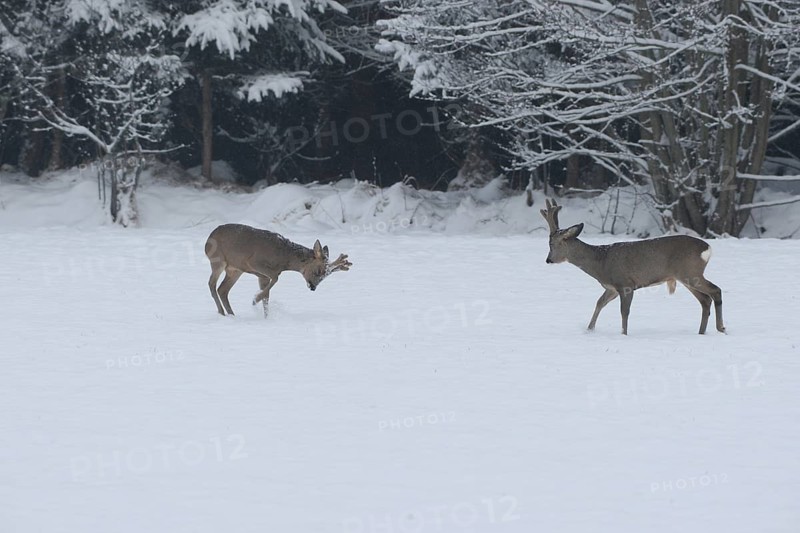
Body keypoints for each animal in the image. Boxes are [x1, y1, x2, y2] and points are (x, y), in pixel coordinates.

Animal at [204, 224, 352, 317]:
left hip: (235, 269)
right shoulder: (254, 262)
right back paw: (221, 313)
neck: (283, 259)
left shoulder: (262, 275)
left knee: (223, 289)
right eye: (319, 270)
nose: (313, 287)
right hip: (218, 259)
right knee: (212, 284)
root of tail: (208, 239)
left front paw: (266, 316)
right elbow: (275, 279)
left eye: (325, 276)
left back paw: (231, 314)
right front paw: (255, 299)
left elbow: (267, 295)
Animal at [540, 199, 725, 335]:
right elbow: (599, 303)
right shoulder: (612, 288)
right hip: (687, 276)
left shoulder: (625, 284)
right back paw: (701, 332)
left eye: (551, 244)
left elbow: (624, 311)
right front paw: (589, 330)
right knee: (705, 300)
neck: (600, 262)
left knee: (715, 290)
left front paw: (624, 334)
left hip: (691, 272)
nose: (548, 260)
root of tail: (708, 248)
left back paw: (721, 328)